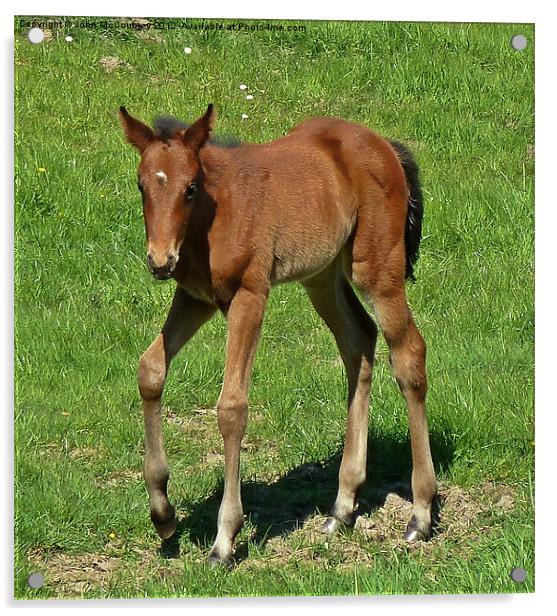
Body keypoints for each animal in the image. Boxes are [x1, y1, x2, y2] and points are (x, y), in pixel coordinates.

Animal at [119, 104, 436, 568]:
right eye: (141, 184)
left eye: (191, 188)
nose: (160, 262)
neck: (213, 219)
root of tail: (386, 146)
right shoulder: (195, 298)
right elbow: (150, 371)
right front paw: (163, 514)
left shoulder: (250, 295)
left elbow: (232, 407)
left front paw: (224, 539)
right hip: (321, 276)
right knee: (359, 342)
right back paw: (342, 507)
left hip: (377, 267)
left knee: (409, 353)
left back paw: (421, 514)